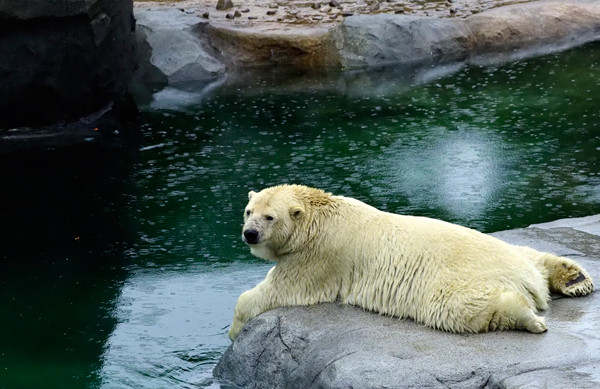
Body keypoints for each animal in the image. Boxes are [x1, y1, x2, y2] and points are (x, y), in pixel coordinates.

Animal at [227, 185, 592, 340]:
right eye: (248, 211)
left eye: (269, 217)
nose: (249, 234)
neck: (322, 216)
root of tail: (525, 277)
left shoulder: (319, 256)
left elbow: (281, 290)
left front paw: (234, 330)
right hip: (514, 253)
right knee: (531, 252)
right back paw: (574, 278)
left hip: (456, 280)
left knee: (456, 307)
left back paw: (529, 318)